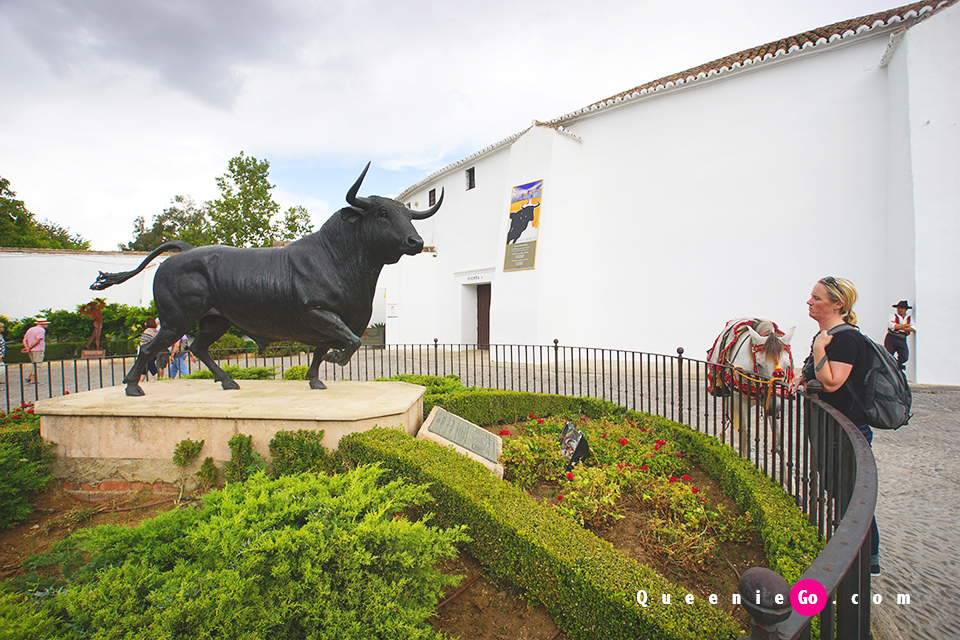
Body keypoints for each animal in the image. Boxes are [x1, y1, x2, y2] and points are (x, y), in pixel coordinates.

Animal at [704, 318, 796, 456]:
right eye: (759, 364)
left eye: (788, 364)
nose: (773, 406)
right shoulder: (740, 400)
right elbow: (744, 434)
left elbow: (780, 442)